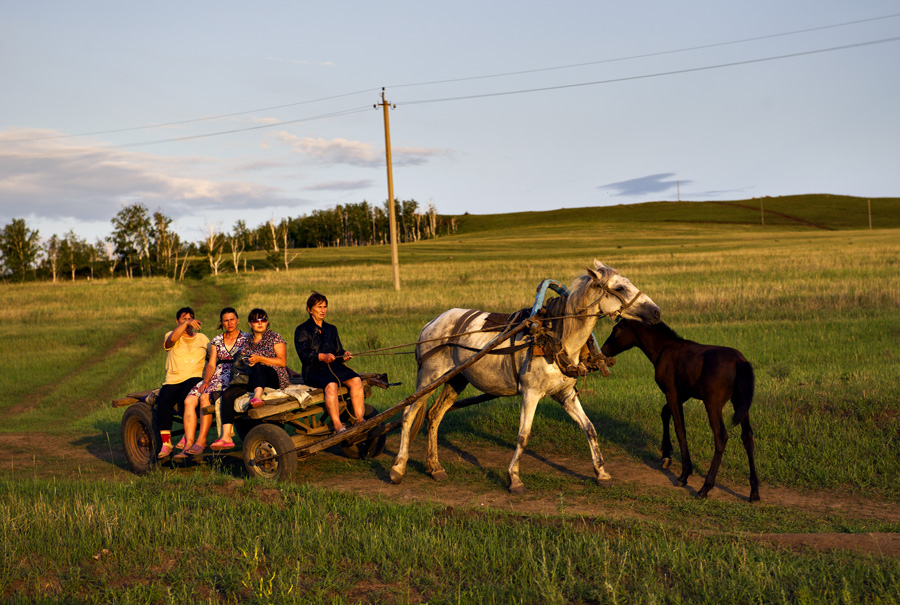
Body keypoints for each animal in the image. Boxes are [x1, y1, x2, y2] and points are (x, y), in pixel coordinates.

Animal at [388, 258, 660, 490]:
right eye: (621, 287)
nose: (657, 312)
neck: (555, 337)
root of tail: (431, 323)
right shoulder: (530, 393)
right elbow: (523, 436)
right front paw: (514, 478)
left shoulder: (566, 395)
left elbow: (589, 428)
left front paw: (602, 473)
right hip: (429, 377)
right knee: (408, 414)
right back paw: (398, 468)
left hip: (455, 379)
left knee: (434, 415)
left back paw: (435, 467)